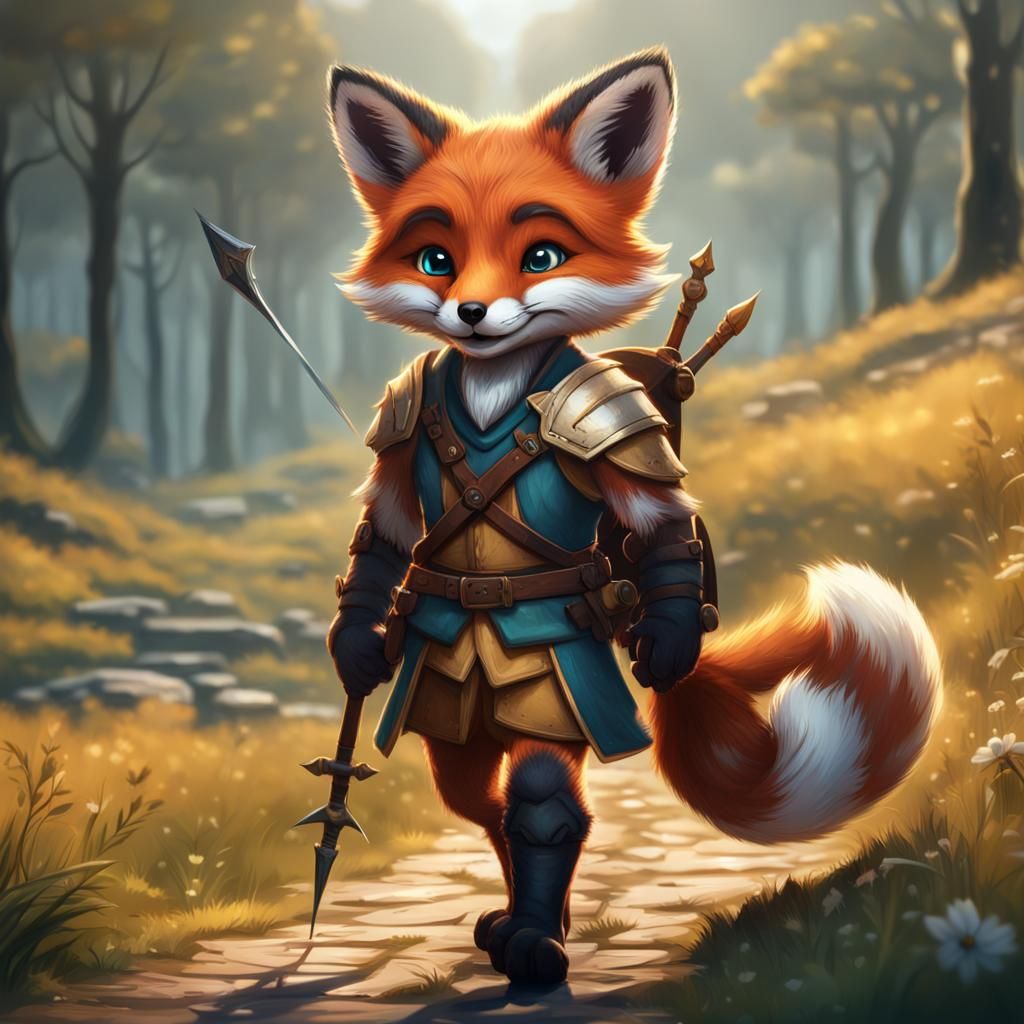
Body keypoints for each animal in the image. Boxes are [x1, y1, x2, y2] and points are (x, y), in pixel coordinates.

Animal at [324, 47, 942, 985]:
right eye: (434, 259)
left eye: (541, 255)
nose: (470, 313)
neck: (496, 380)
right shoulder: (404, 418)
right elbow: (385, 537)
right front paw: (357, 645)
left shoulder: (610, 420)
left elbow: (655, 535)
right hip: (444, 707)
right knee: (474, 791)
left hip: (550, 685)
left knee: (535, 798)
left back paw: (534, 931)